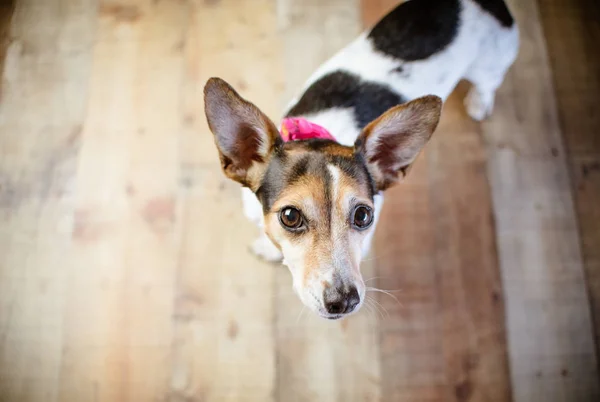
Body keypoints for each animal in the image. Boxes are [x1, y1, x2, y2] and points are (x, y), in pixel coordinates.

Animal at [204, 0, 516, 320]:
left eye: (363, 215)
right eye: (290, 216)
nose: (344, 301)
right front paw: (268, 246)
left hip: (492, 62)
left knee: (488, 83)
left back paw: (479, 103)